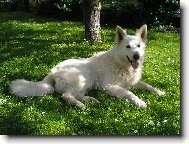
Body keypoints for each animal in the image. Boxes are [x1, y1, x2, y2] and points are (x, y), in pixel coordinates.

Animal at [9, 24, 165, 109]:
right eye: (128, 47)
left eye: (138, 46)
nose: (136, 56)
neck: (120, 63)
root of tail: (51, 72)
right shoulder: (108, 86)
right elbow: (128, 93)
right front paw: (139, 102)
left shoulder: (133, 81)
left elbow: (148, 85)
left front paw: (160, 92)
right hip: (84, 77)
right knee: (66, 95)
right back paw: (81, 105)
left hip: (86, 83)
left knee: (74, 94)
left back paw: (91, 100)